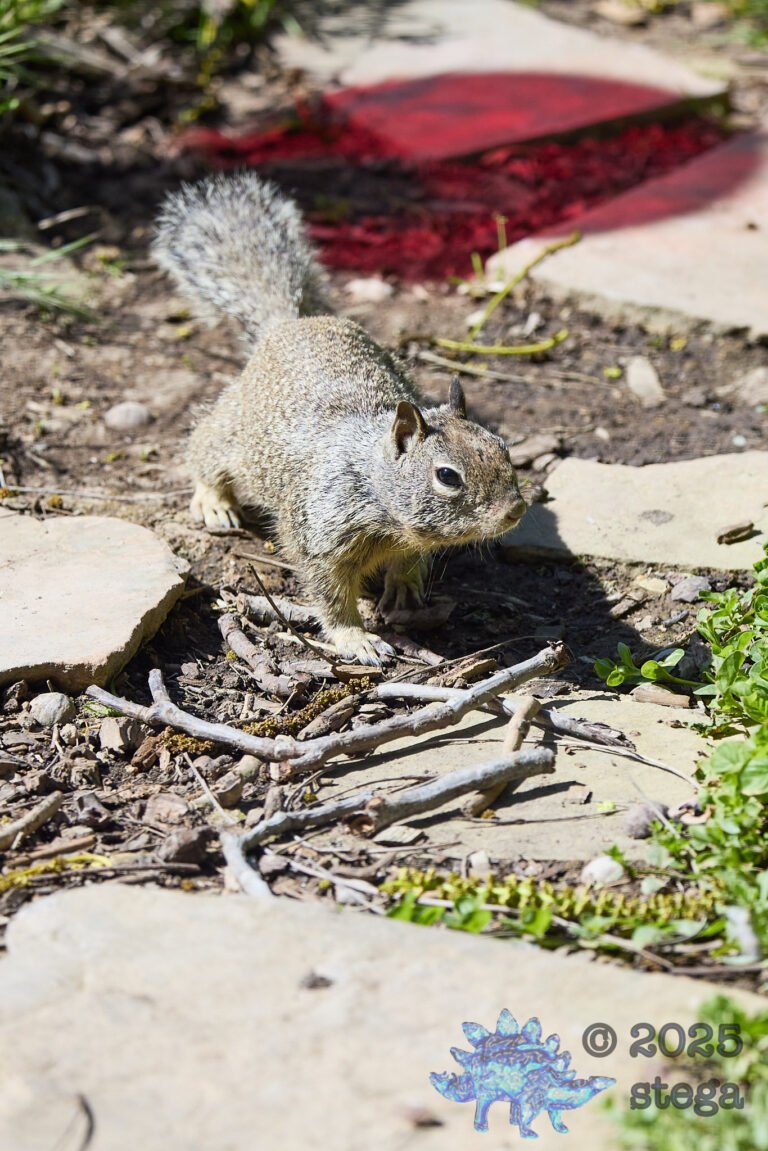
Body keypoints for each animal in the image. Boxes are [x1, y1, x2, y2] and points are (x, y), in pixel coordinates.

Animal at [153, 172, 527, 666]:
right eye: (447, 476)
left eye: (502, 447)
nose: (516, 510)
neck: (376, 490)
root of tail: (290, 323)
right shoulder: (316, 537)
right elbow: (329, 596)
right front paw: (356, 638)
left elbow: (409, 564)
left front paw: (405, 587)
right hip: (229, 427)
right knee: (204, 454)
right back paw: (213, 501)